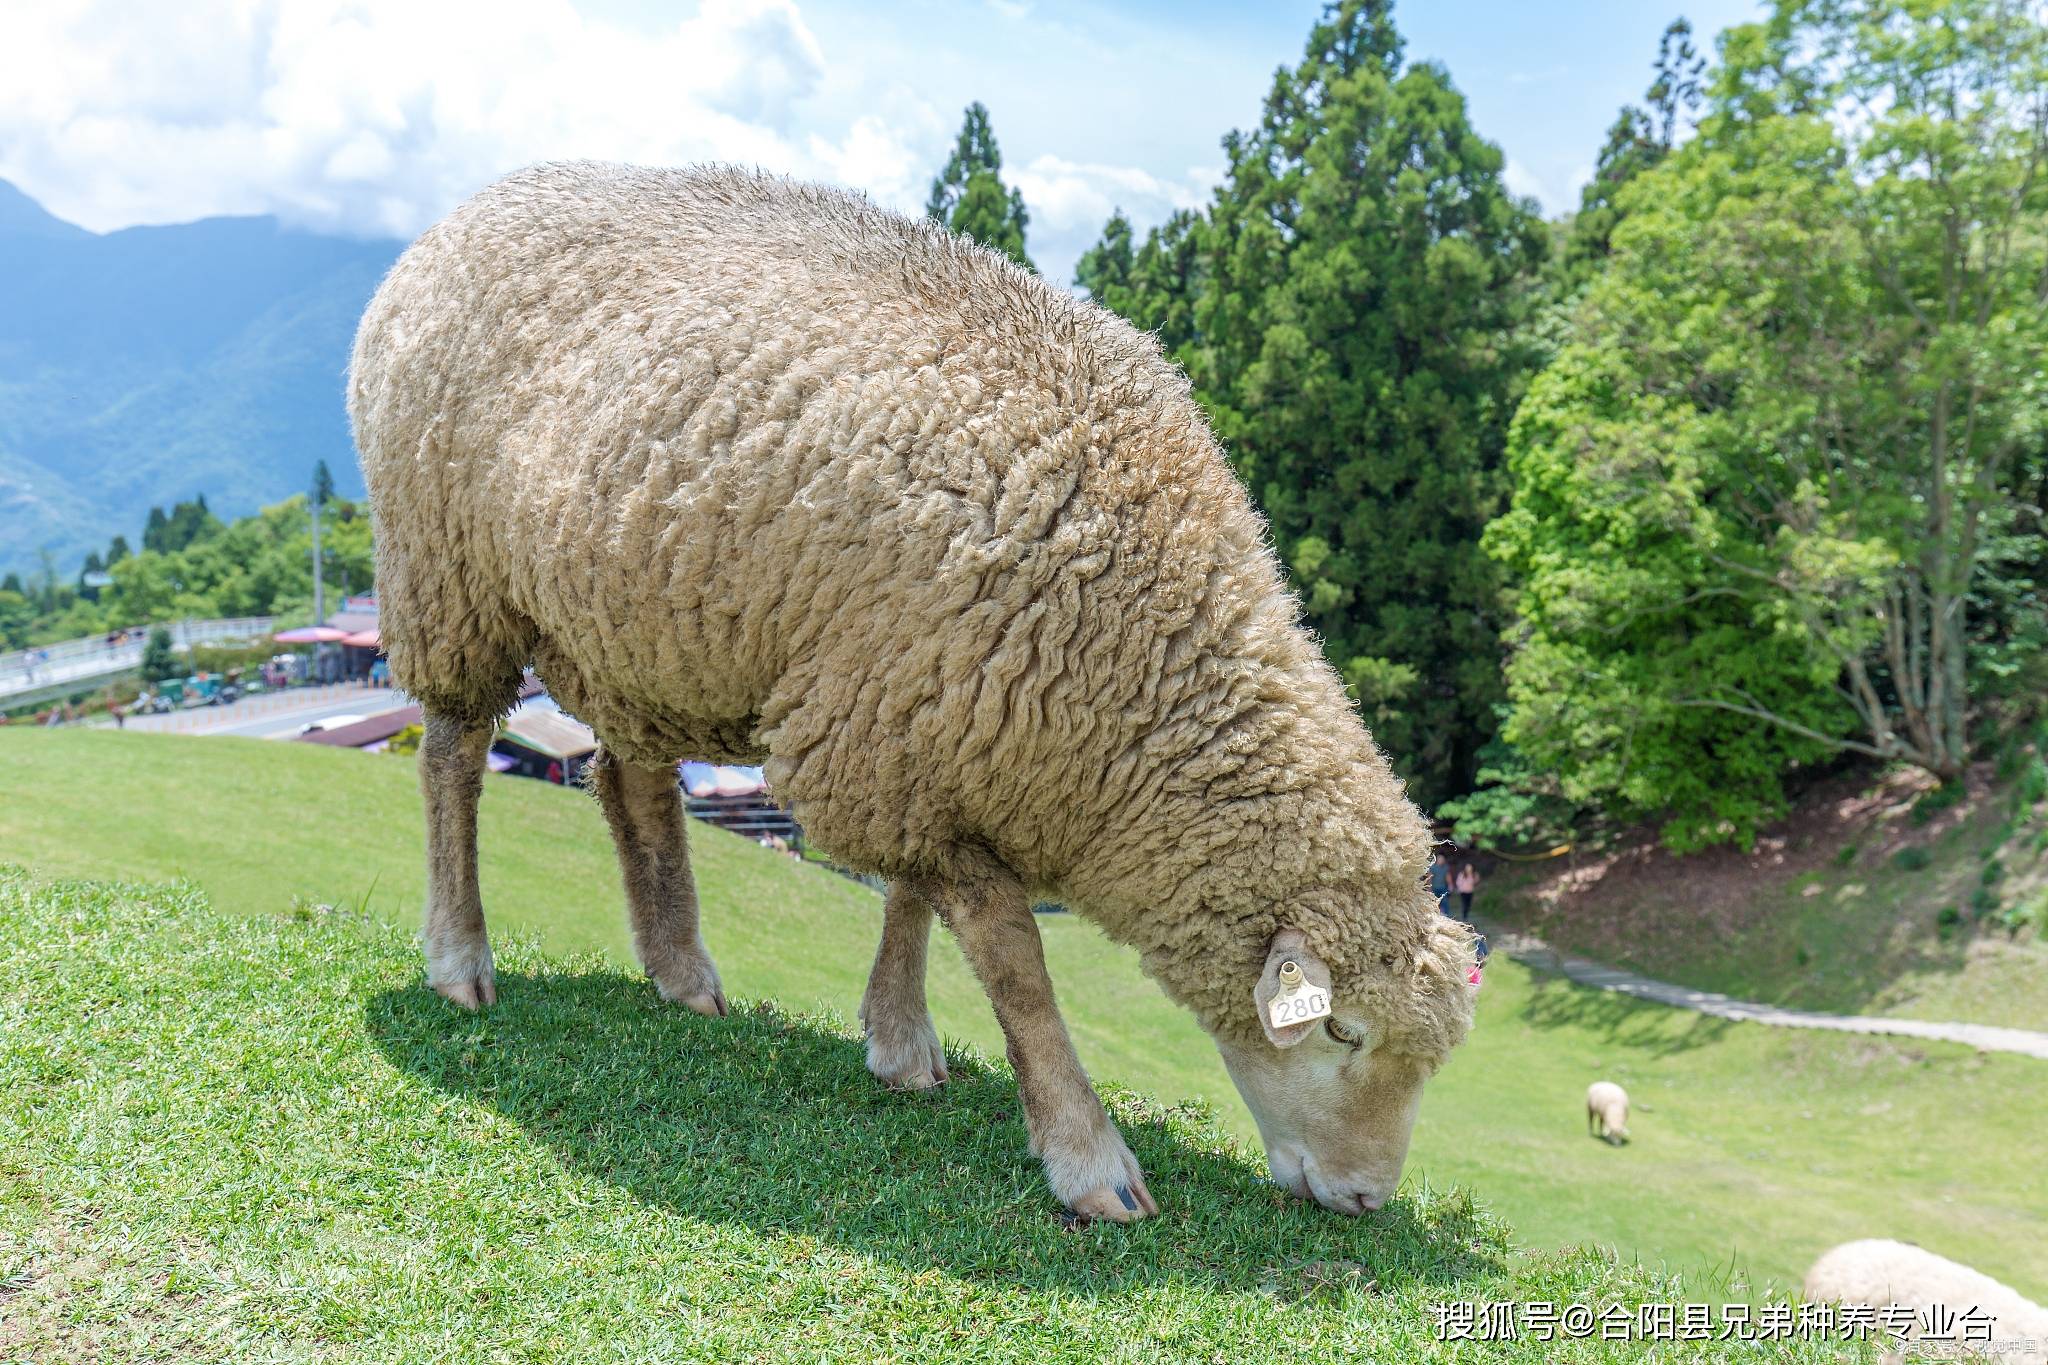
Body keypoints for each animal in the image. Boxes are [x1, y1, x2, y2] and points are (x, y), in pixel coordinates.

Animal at [344, 160, 1482, 1227]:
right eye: (1340, 1028)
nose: (1364, 1199)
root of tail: (460, 214)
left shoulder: (919, 723)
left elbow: (909, 899)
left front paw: (899, 1041)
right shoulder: (891, 730)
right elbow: (1012, 958)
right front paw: (1086, 1156)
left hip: (639, 623)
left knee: (630, 787)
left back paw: (681, 972)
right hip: (448, 572)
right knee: (452, 756)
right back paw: (460, 957)